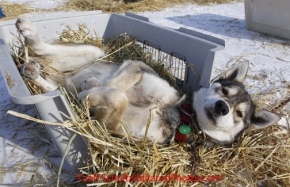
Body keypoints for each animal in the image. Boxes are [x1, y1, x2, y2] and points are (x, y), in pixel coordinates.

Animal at [16, 17, 280, 145]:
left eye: (239, 114)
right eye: (224, 91)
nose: (222, 107)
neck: (179, 115)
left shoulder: (112, 128)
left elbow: (117, 98)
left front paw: (89, 94)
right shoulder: (136, 67)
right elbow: (118, 89)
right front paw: (92, 90)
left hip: (64, 79)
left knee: (54, 85)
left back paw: (34, 71)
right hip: (93, 52)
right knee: (42, 48)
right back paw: (29, 34)